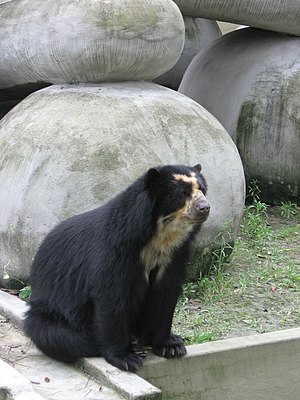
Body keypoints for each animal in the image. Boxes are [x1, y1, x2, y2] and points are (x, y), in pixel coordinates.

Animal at [23, 162, 210, 372]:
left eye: (202, 190)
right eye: (182, 193)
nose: (204, 207)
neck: (158, 237)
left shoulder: (173, 257)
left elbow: (165, 294)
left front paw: (170, 346)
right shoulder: (115, 251)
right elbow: (111, 297)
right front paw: (125, 358)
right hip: (50, 310)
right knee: (56, 335)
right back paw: (130, 343)